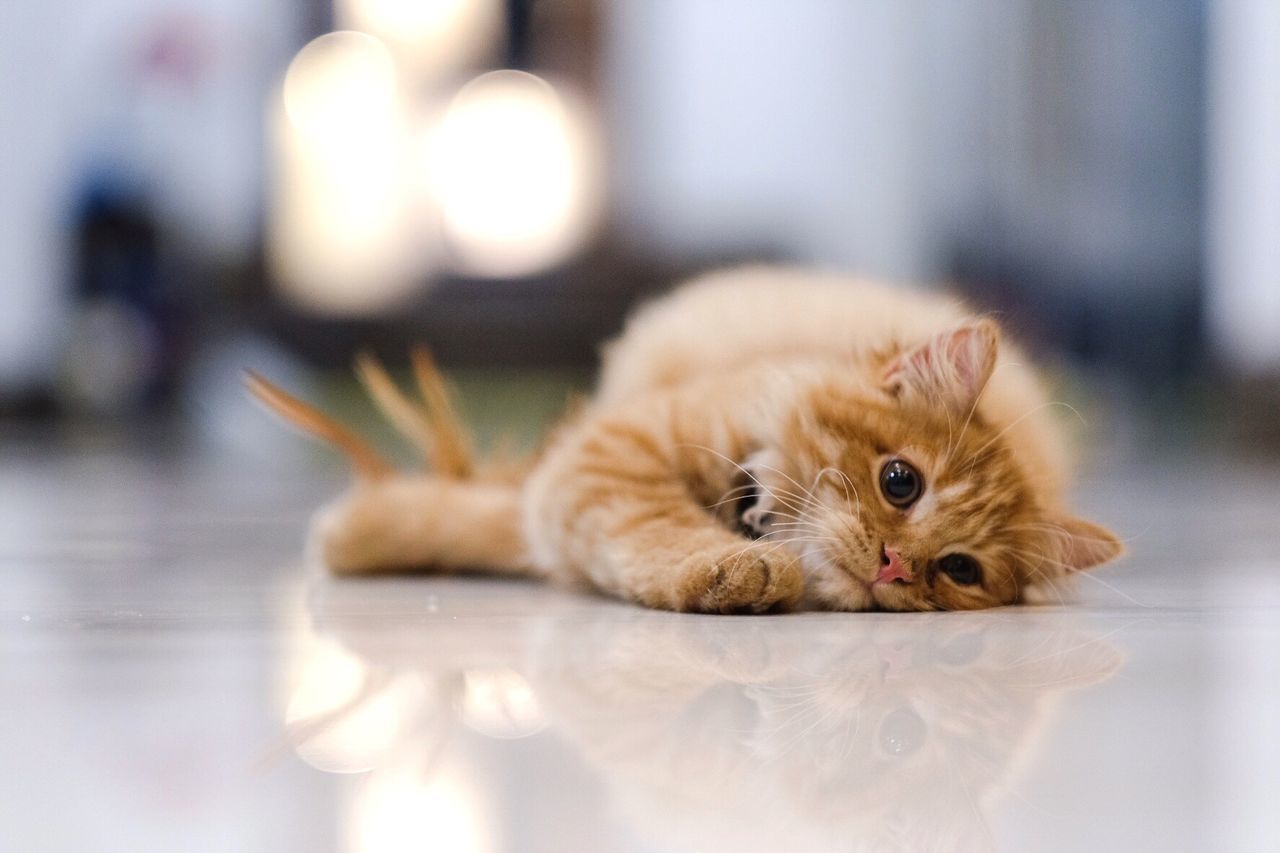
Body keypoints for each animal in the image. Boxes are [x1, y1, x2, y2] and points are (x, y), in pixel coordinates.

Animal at [249, 268, 1121, 607]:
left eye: (961, 569)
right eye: (900, 480)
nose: (895, 566)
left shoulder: (573, 488)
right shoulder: (608, 452)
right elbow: (643, 523)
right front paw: (356, 534)